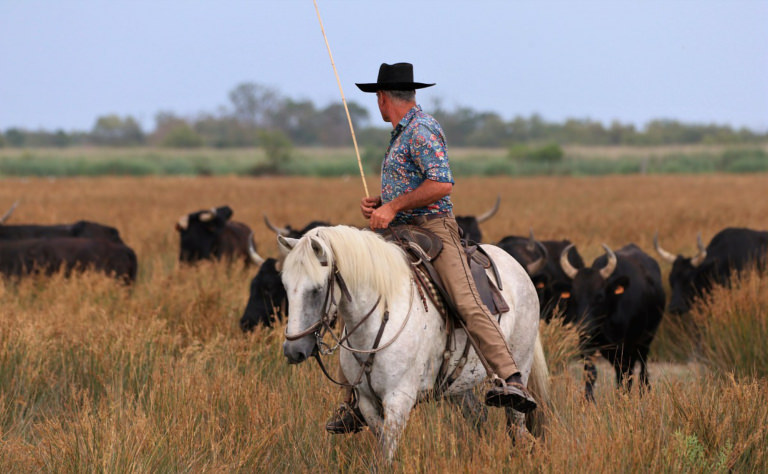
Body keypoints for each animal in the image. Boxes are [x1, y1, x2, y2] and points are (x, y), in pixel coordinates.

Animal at [280, 224, 548, 462]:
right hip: (459, 384)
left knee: (517, 429)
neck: (381, 316)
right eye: (285, 286)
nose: (293, 350)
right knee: (477, 417)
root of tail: (518, 267)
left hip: (521, 365)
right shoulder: (367, 401)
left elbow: (384, 456)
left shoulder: (399, 400)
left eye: (317, 289)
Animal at [560, 244, 664, 400]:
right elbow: (591, 372)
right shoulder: (586, 345)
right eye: (574, 296)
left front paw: (623, 397)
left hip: (646, 338)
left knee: (642, 366)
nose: (584, 327)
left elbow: (624, 375)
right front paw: (588, 399)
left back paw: (643, 391)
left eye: (599, 296)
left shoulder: (625, 347)